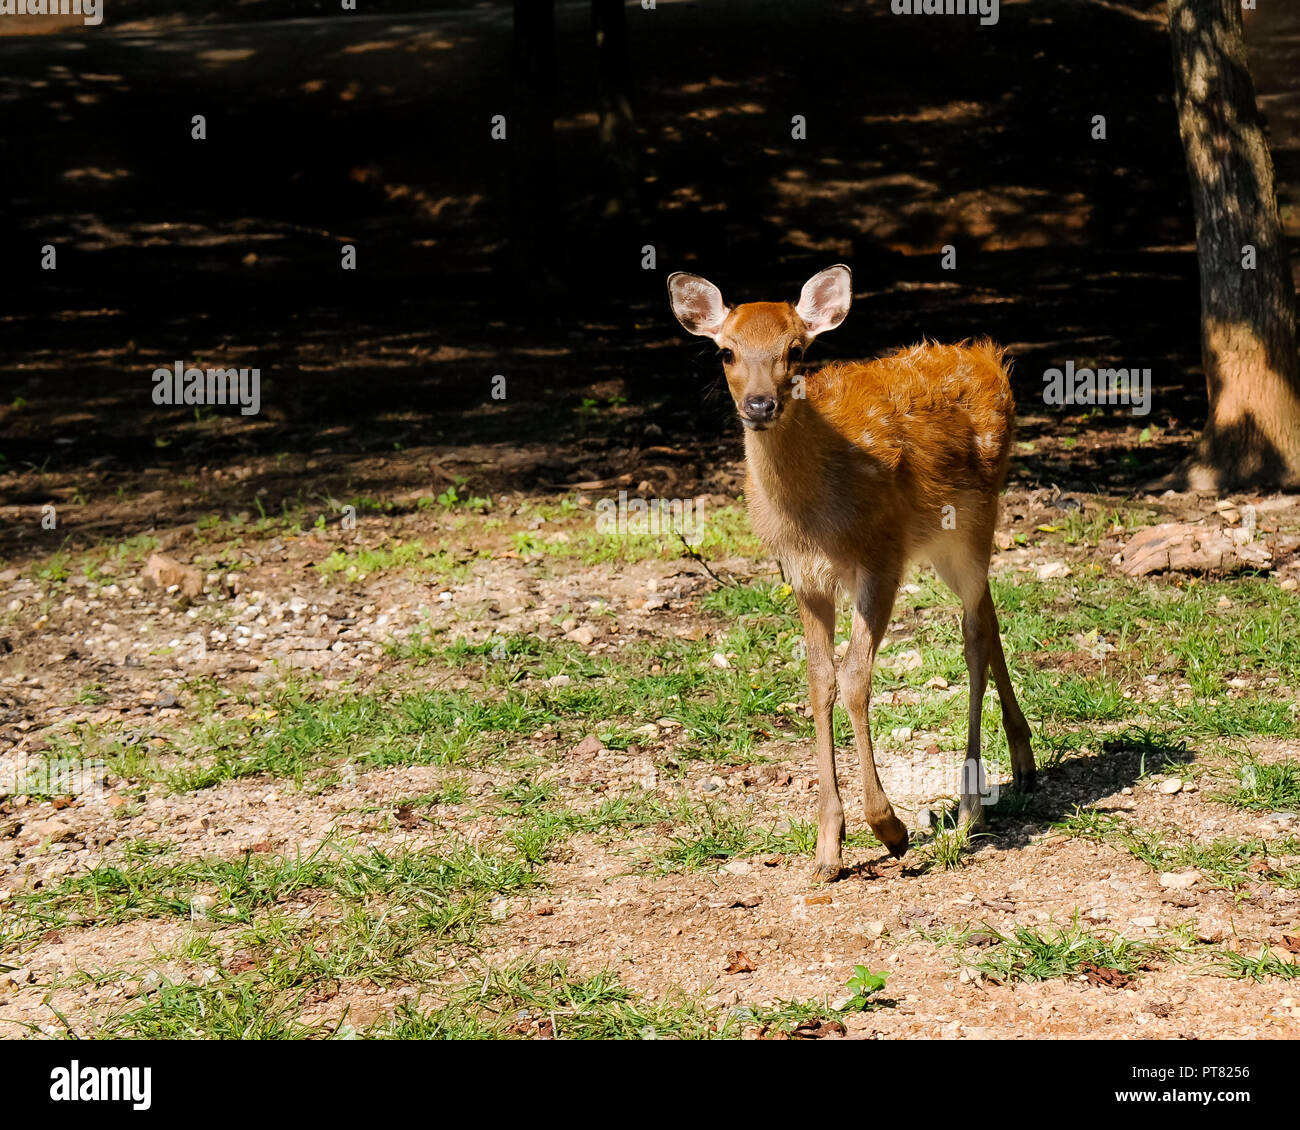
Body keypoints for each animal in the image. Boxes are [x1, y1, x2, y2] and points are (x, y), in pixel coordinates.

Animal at [668, 264, 1035, 881]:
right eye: (726, 351)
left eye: (796, 349)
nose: (760, 405)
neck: (814, 515)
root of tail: (988, 356)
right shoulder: (803, 575)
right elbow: (820, 681)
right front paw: (827, 848)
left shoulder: (880, 556)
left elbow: (856, 678)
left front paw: (890, 829)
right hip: (947, 543)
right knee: (989, 613)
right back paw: (1023, 760)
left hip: (973, 522)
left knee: (975, 633)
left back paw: (968, 808)